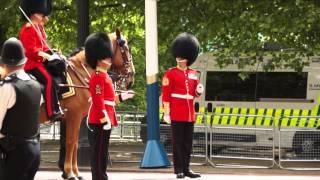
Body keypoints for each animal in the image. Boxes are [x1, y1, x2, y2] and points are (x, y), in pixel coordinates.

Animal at [38, 30, 134, 179]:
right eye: (125, 48)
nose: (131, 78)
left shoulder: (69, 118)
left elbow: (73, 143)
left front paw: (73, 172)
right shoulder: (74, 116)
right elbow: (71, 142)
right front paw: (70, 172)